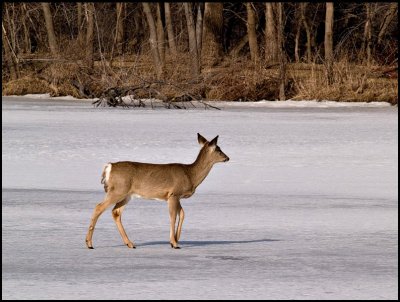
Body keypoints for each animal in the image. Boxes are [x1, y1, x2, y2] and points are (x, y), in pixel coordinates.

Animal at [85, 133, 228, 249]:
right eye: (218, 149)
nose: (227, 158)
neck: (190, 174)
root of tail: (109, 167)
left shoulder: (176, 196)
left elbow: (182, 214)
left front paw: (176, 239)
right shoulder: (174, 194)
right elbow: (173, 216)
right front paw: (174, 243)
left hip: (126, 195)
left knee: (116, 212)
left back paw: (130, 244)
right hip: (118, 190)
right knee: (98, 207)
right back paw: (89, 243)